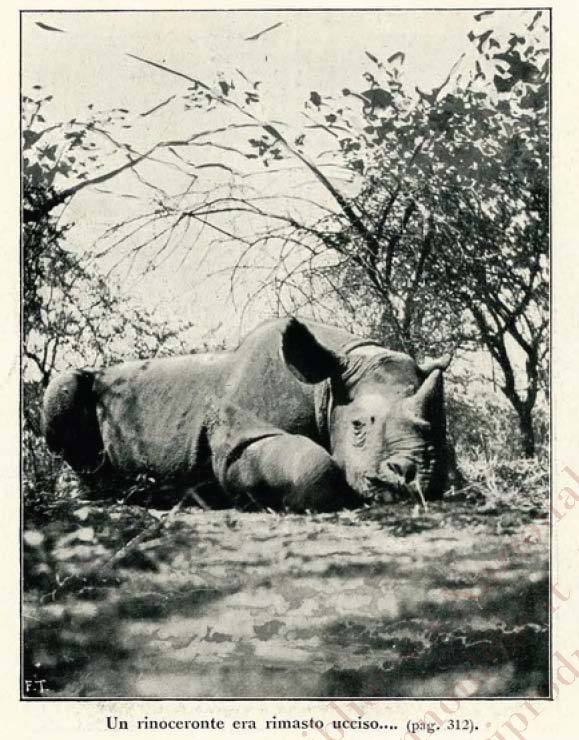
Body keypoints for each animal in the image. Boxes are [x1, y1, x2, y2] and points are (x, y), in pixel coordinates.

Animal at [43, 318, 453, 512]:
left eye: (435, 429)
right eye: (357, 426)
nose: (418, 478)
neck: (326, 384)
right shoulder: (241, 439)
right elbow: (313, 463)